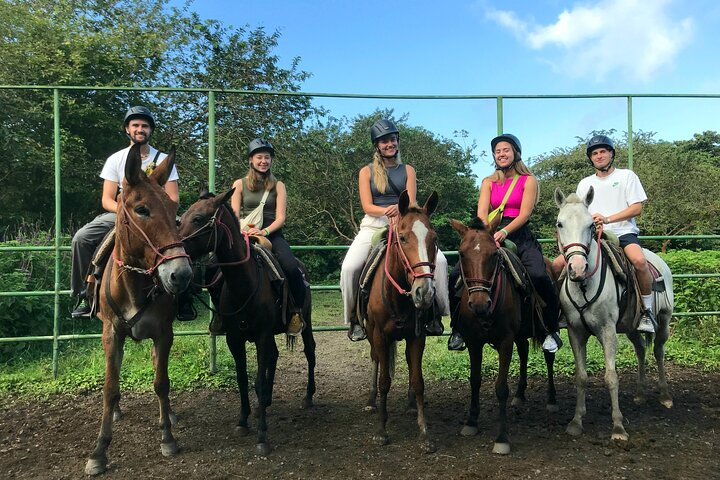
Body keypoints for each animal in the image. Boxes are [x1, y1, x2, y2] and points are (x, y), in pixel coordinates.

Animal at [83, 143, 194, 476]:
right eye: (141, 209)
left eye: (174, 212)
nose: (180, 275)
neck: (134, 283)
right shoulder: (111, 333)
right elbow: (110, 387)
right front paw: (99, 452)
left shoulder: (164, 333)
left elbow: (161, 382)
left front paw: (167, 437)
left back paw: (168, 415)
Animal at [177, 189, 316, 456]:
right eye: (183, 218)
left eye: (198, 219)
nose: (171, 247)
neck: (245, 284)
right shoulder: (235, 338)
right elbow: (242, 378)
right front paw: (243, 421)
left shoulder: (261, 336)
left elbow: (258, 380)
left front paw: (262, 436)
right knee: (274, 356)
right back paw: (268, 400)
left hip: (306, 322)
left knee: (310, 351)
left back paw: (308, 397)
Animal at [360, 189, 438, 452]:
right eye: (402, 238)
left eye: (434, 239)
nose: (424, 292)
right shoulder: (380, 335)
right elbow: (385, 380)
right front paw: (381, 431)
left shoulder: (417, 336)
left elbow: (418, 379)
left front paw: (424, 433)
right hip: (371, 334)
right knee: (375, 359)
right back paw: (371, 400)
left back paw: (411, 403)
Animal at [448, 218, 560, 454]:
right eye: (461, 254)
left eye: (494, 255)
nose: (479, 304)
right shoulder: (474, 342)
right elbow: (474, 380)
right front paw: (471, 422)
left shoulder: (505, 342)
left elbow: (501, 388)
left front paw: (501, 438)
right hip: (521, 333)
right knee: (524, 351)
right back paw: (520, 395)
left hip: (544, 327)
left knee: (549, 357)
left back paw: (552, 399)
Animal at [556, 188, 672, 442]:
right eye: (559, 223)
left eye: (591, 225)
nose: (577, 269)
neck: (584, 285)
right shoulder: (575, 332)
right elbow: (581, 377)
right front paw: (576, 421)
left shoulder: (608, 331)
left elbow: (611, 376)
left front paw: (618, 427)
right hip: (630, 327)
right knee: (641, 349)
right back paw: (640, 394)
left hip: (664, 321)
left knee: (658, 351)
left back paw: (665, 395)